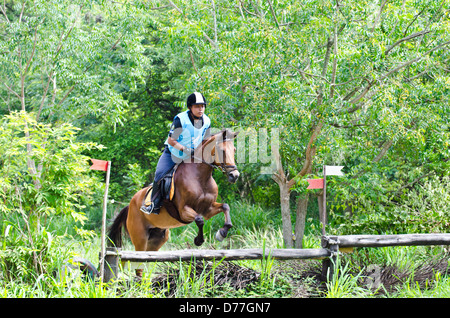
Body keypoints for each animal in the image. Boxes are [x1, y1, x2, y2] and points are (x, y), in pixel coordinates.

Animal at [107, 130, 239, 278]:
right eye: (222, 150)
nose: (235, 175)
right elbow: (199, 219)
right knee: (136, 262)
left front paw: (222, 233)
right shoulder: (183, 211)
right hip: (139, 237)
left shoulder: (208, 210)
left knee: (143, 261)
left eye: (234, 150)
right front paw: (198, 240)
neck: (200, 177)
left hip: (157, 239)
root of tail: (130, 206)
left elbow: (225, 207)